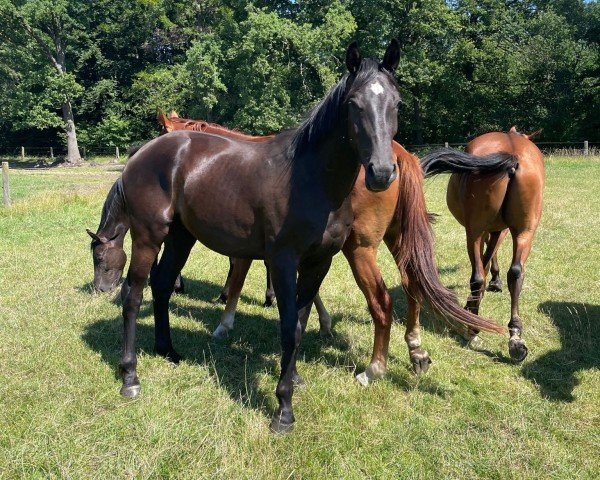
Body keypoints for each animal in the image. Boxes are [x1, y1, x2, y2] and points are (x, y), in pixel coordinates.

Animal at [91, 40, 406, 432]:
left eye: (397, 103)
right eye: (354, 104)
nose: (381, 172)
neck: (311, 179)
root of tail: (140, 155)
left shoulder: (319, 262)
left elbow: (299, 322)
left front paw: (293, 378)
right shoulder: (283, 261)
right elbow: (288, 327)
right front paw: (283, 409)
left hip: (181, 236)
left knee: (162, 284)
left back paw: (168, 350)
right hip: (149, 235)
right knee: (133, 295)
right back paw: (130, 377)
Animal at [422, 127, 544, 360]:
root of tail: (513, 154)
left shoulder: (493, 230)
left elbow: (487, 260)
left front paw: (483, 292)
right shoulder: (499, 230)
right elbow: (490, 256)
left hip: (479, 232)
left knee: (482, 276)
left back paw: (482, 329)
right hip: (522, 232)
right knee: (514, 272)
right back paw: (510, 336)